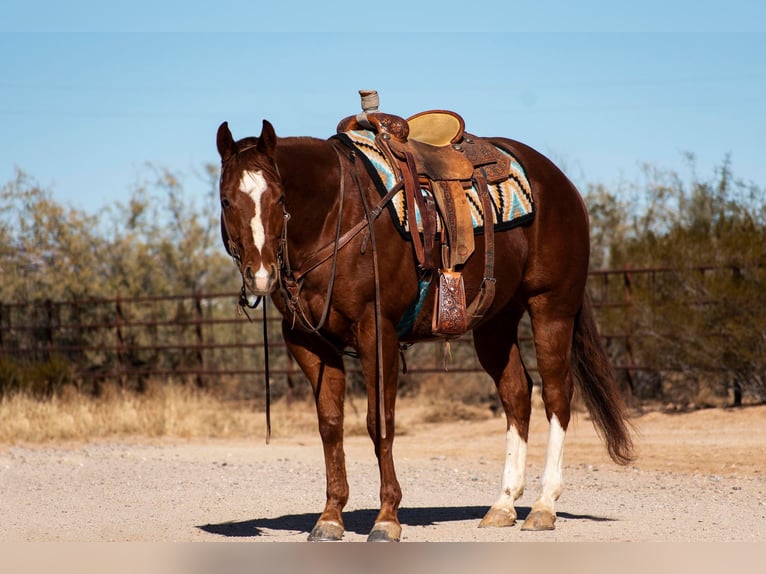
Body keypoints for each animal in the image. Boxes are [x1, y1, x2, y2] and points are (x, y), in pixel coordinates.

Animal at [218, 113, 636, 544]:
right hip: (496, 321)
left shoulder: (378, 334)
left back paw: (543, 506)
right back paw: (503, 505)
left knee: (556, 395)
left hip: (551, 308)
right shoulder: (308, 343)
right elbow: (331, 425)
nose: (261, 275)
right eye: (226, 200)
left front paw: (387, 518)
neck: (336, 215)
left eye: (279, 199)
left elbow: (379, 424)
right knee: (517, 394)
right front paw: (330, 517)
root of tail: (563, 185)